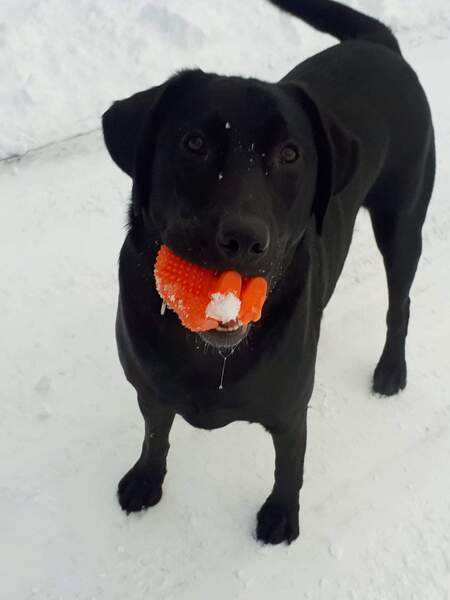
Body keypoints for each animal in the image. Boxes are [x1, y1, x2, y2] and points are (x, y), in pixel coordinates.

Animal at [103, 0, 436, 544]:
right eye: (193, 143)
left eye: (290, 154)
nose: (243, 239)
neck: (210, 354)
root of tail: (378, 43)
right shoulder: (148, 388)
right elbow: (156, 431)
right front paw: (146, 479)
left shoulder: (290, 407)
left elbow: (290, 462)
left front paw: (281, 515)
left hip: (402, 220)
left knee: (400, 304)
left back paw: (391, 369)